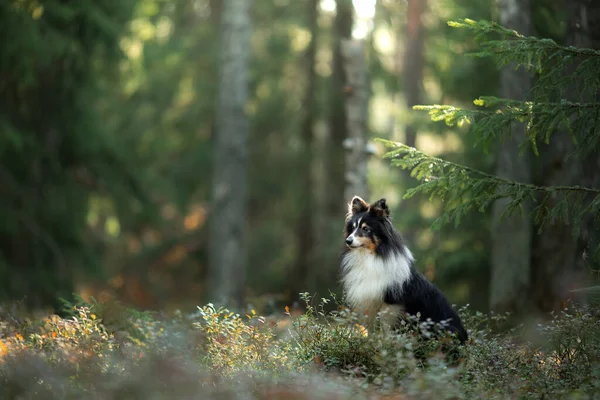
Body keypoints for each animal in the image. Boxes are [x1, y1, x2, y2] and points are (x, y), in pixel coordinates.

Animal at [342, 195, 468, 342]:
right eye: (352, 228)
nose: (348, 241)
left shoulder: (390, 305)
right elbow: (371, 330)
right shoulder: (369, 303)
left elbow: (387, 329)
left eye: (366, 229)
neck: (371, 256)